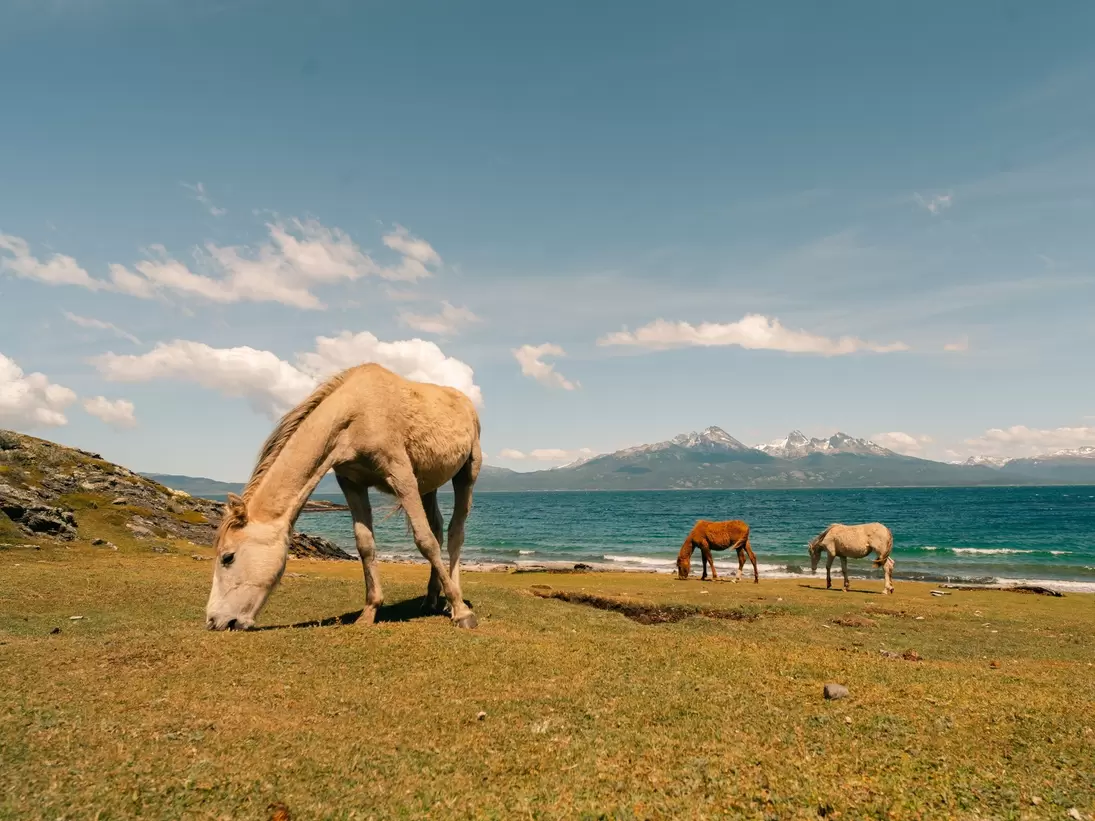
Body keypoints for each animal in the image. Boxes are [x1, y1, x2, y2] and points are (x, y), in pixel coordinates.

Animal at [204, 363, 483, 631]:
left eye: (228, 557)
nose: (214, 621)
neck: (357, 413)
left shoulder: (401, 475)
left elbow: (424, 541)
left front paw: (462, 612)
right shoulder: (351, 483)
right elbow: (365, 544)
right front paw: (370, 611)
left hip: (467, 472)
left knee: (454, 533)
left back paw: (452, 603)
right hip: (427, 484)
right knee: (437, 526)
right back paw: (431, 599)